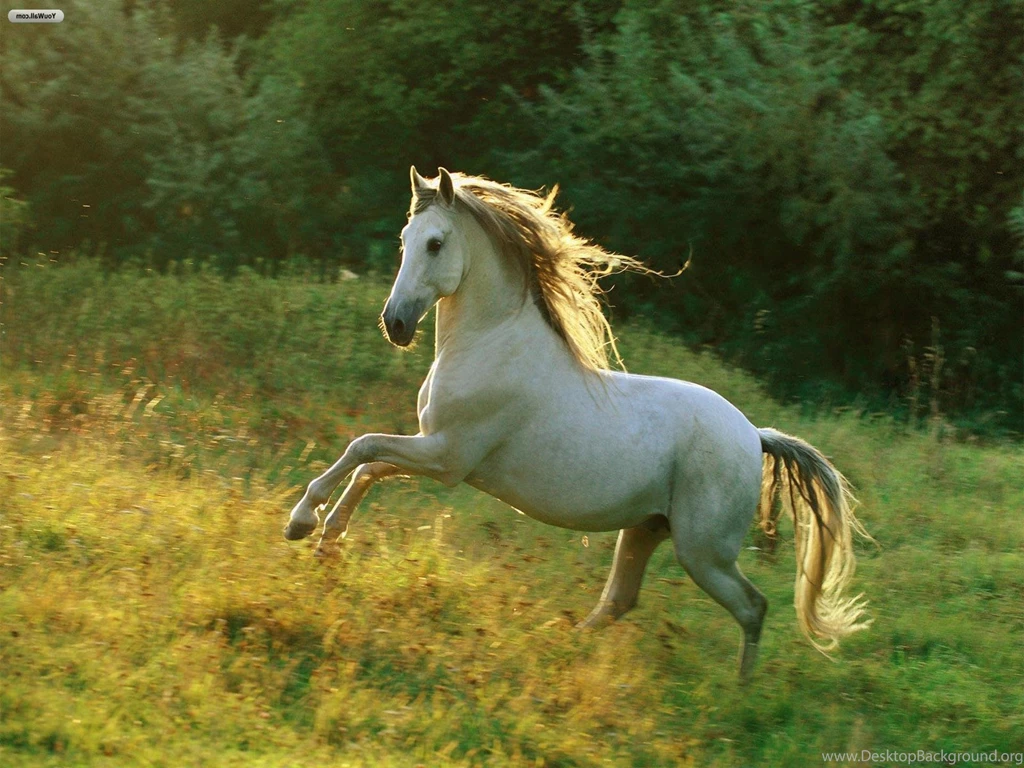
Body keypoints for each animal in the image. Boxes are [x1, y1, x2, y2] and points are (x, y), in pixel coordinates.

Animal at [284, 166, 871, 680]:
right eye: (405, 237)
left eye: (435, 243)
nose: (396, 324)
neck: (491, 344)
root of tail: (755, 436)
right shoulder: (433, 448)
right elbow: (368, 465)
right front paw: (326, 543)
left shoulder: (447, 457)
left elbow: (363, 448)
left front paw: (302, 522)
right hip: (646, 529)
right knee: (620, 600)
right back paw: (556, 644)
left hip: (703, 552)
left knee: (752, 606)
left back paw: (737, 695)